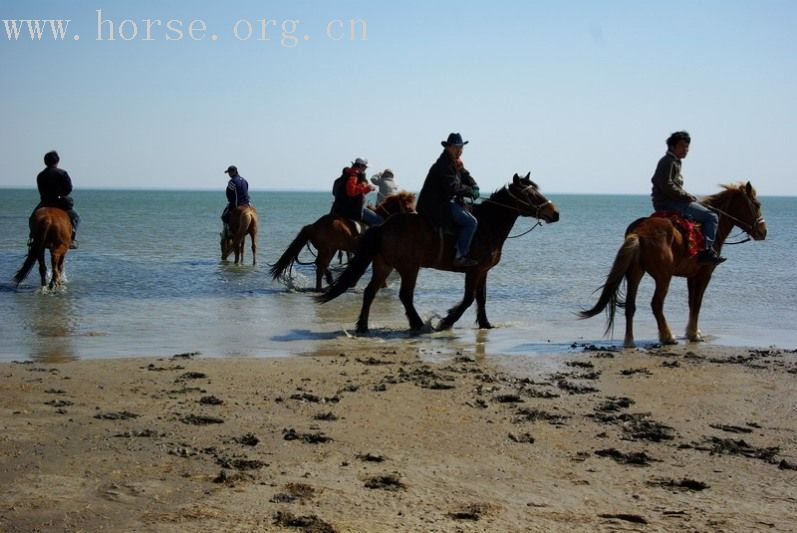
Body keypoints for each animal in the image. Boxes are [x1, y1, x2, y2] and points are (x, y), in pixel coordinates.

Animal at [268, 191, 414, 290]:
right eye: (409, 207)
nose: (414, 217)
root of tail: (314, 226)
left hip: (329, 250)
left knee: (321, 265)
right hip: (328, 250)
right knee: (320, 266)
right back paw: (321, 287)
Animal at [314, 174, 556, 332]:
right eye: (531, 194)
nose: (555, 213)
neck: (487, 225)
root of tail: (383, 226)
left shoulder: (484, 271)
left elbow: (481, 298)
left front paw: (486, 324)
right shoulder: (474, 270)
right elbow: (468, 299)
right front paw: (446, 321)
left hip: (384, 265)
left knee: (369, 292)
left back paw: (363, 326)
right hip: (409, 268)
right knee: (405, 295)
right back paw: (418, 324)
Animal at [580, 182, 764, 350]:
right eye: (757, 204)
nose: (763, 231)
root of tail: (639, 233)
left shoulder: (691, 276)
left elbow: (691, 302)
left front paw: (692, 332)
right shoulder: (705, 274)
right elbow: (697, 303)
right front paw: (694, 334)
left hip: (635, 273)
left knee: (630, 306)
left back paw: (629, 341)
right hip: (663, 277)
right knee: (656, 304)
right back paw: (667, 336)